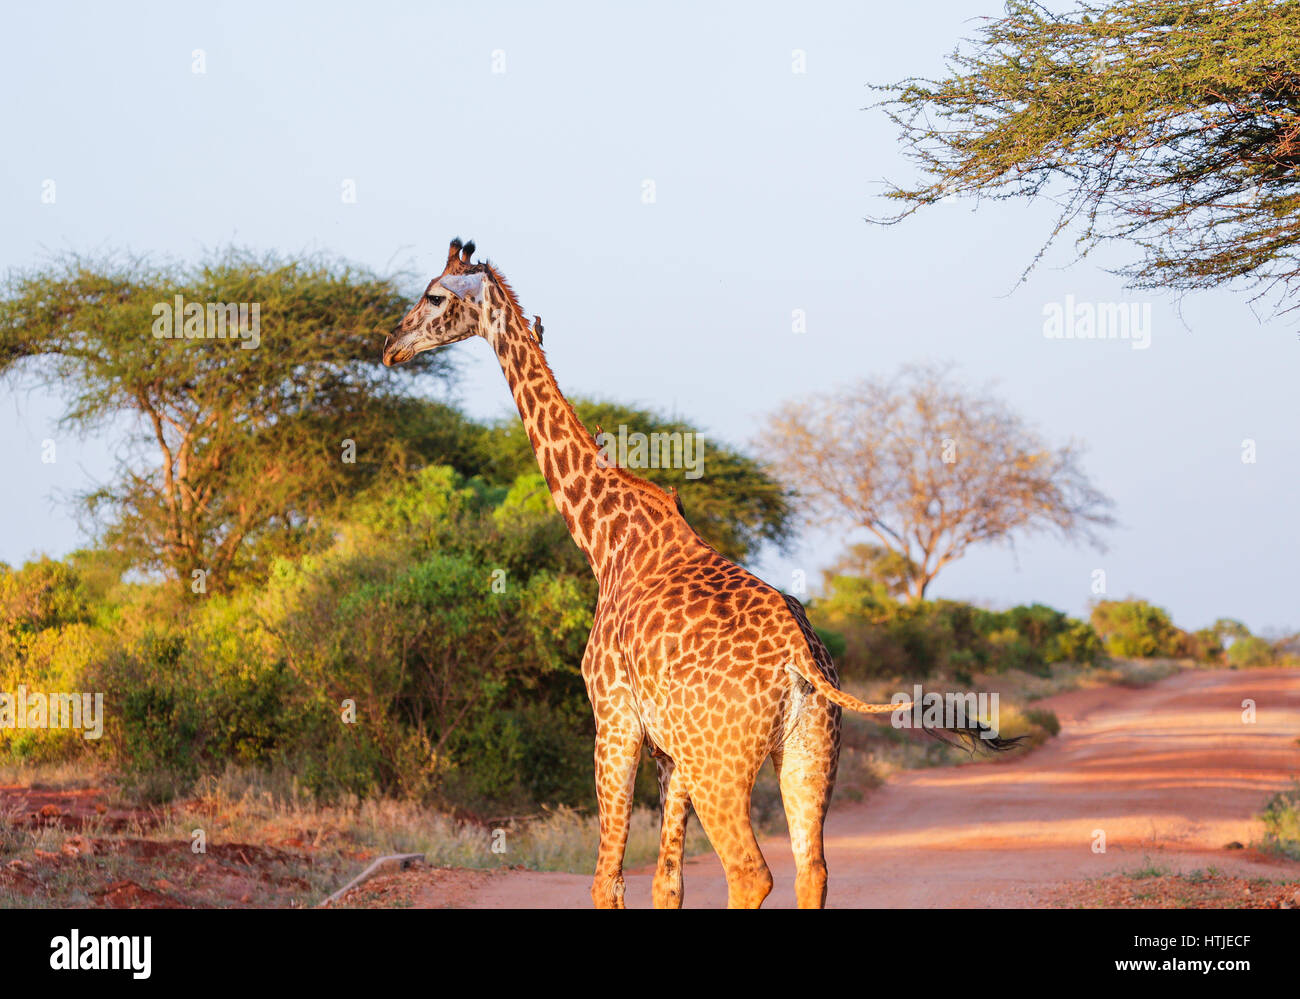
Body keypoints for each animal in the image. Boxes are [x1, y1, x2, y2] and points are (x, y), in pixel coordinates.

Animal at [379, 239, 1008, 905]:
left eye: (434, 296)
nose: (391, 344)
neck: (609, 541)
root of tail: (802, 659)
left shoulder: (614, 717)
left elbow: (608, 879)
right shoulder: (670, 748)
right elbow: (667, 881)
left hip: (721, 764)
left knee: (751, 870)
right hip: (810, 751)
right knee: (812, 867)